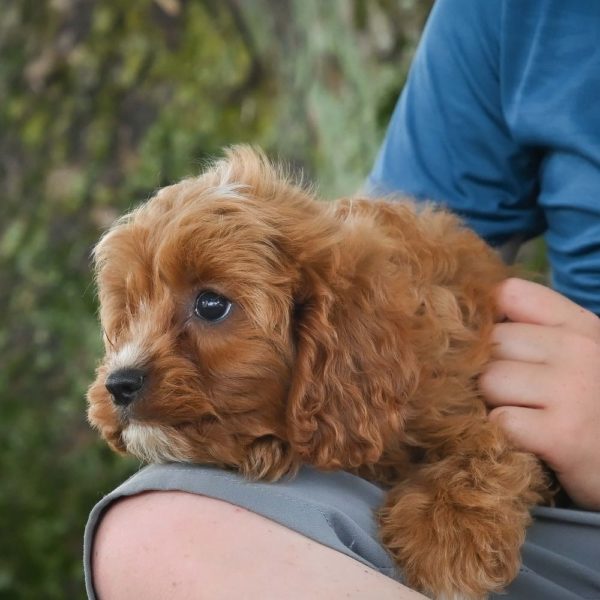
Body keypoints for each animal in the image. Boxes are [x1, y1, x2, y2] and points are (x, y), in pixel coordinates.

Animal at [86, 144, 552, 596]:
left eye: (211, 305)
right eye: (129, 309)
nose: (118, 384)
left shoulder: (460, 399)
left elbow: (487, 444)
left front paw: (449, 538)